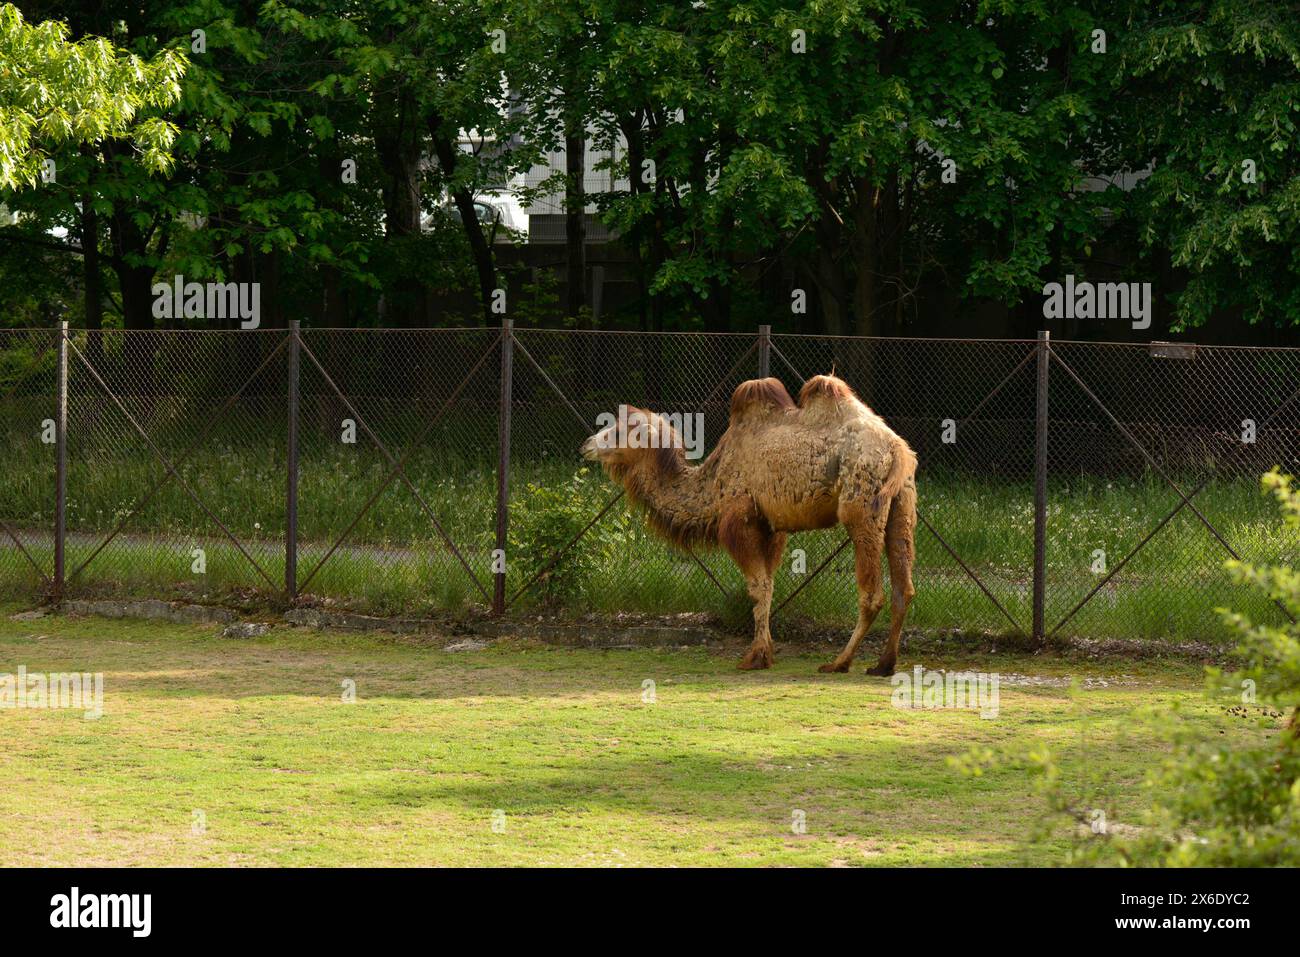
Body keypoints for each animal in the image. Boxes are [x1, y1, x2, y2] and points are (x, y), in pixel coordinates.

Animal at [580, 374, 917, 675]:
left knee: (872, 594)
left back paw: (839, 663)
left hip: (861, 506)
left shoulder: (739, 522)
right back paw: (883, 665)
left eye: (619, 431)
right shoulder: (772, 527)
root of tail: (896, 449)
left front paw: (755, 656)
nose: (586, 444)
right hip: (902, 506)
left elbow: (757, 588)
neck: (713, 483)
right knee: (904, 588)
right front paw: (766, 653)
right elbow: (768, 584)